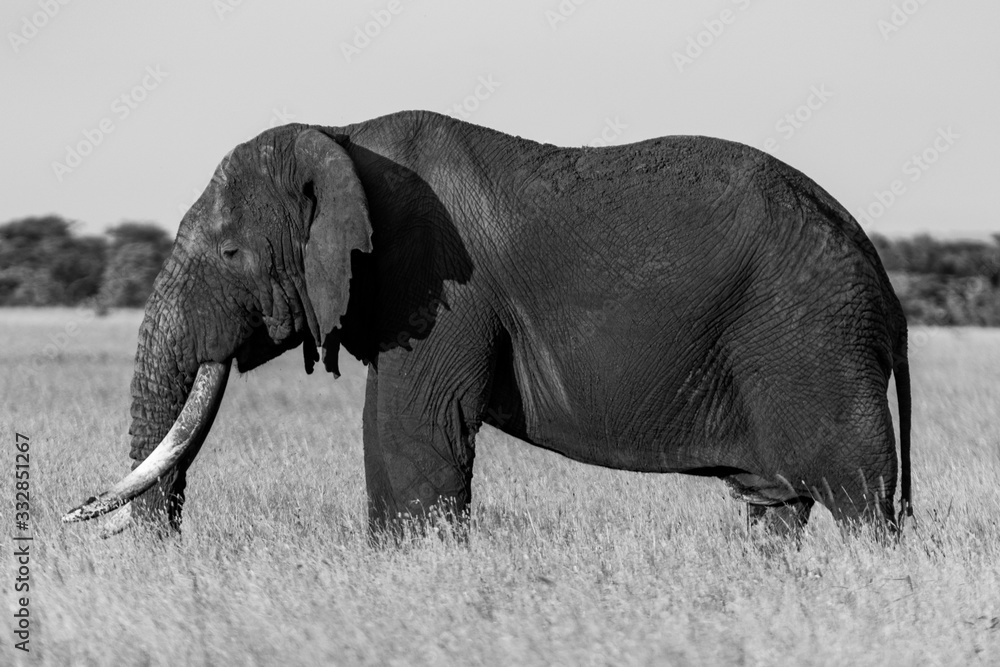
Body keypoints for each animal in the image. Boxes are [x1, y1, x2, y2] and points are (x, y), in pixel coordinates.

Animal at [64, 110, 912, 539]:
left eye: (232, 252)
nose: (76, 512)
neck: (340, 137)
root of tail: (878, 268)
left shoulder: (439, 284)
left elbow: (413, 431)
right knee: (777, 508)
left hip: (809, 335)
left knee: (859, 494)